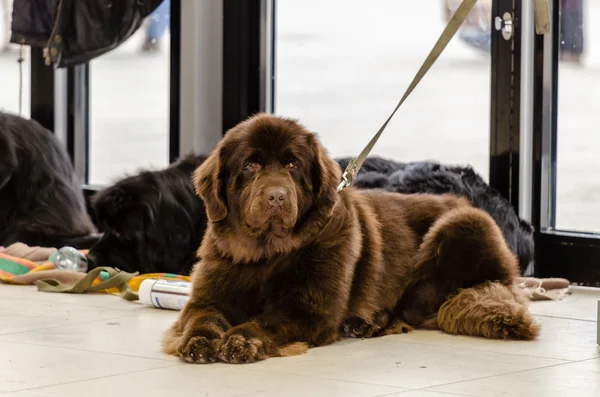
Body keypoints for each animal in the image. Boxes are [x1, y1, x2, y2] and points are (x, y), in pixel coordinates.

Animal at [161, 113, 540, 362]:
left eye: (292, 165)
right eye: (250, 166)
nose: (277, 196)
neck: (267, 254)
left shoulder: (307, 308)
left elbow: (265, 320)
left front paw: (240, 340)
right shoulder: (208, 297)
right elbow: (201, 317)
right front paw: (199, 341)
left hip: (460, 226)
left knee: (413, 307)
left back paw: (367, 322)